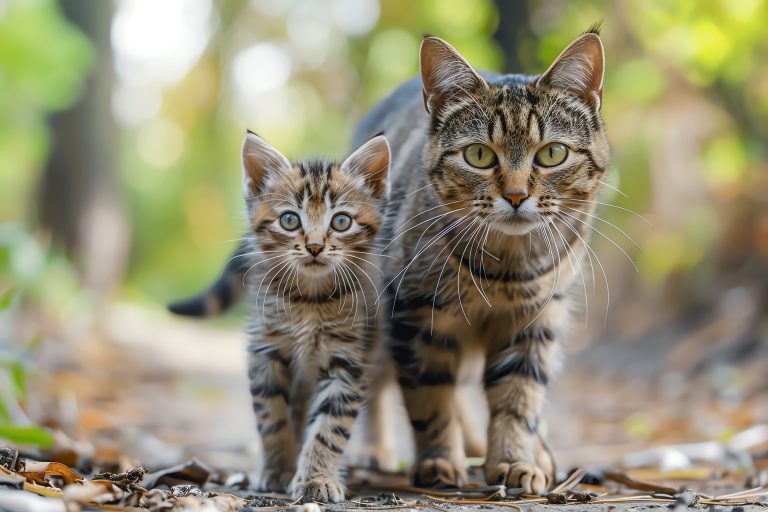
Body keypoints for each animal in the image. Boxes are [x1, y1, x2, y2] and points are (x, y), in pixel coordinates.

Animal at [172, 130, 392, 502]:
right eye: (290, 220)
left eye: (341, 221)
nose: (315, 246)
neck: (309, 300)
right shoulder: (266, 352)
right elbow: (272, 418)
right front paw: (277, 469)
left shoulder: (348, 359)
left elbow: (330, 426)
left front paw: (317, 478)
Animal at [356, 30, 612, 494]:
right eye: (478, 155)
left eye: (552, 154)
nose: (515, 195)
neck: (504, 270)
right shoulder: (416, 316)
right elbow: (429, 397)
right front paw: (439, 459)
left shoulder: (535, 321)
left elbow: (517, 400)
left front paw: (513, 459)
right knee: (376, 377)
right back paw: (377, 447)